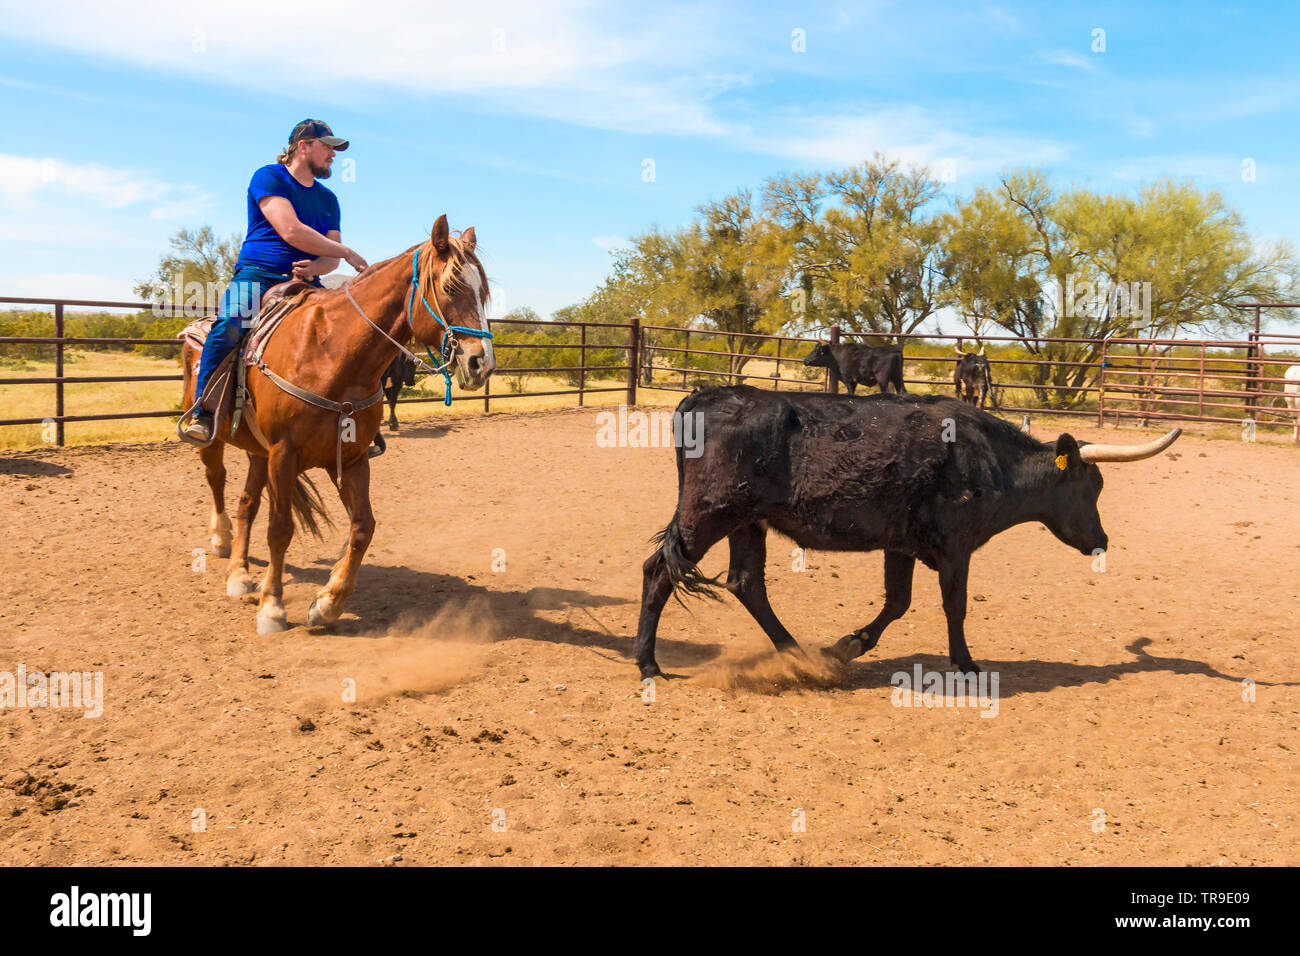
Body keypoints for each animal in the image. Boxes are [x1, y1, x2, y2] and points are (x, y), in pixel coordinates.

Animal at [179, 215, 495, 634]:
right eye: (451, 286)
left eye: (484, 291)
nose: (482, 363)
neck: (331, 352)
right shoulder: (284, 454)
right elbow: (280, 529)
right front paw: (272, 607)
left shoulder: (351, 457)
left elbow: (363, 526)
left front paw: (328, 602)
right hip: (215, 438)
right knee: (216, 478)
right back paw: (220, 539)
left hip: (258, 452)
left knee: (247, 503)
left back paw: (240, 574)